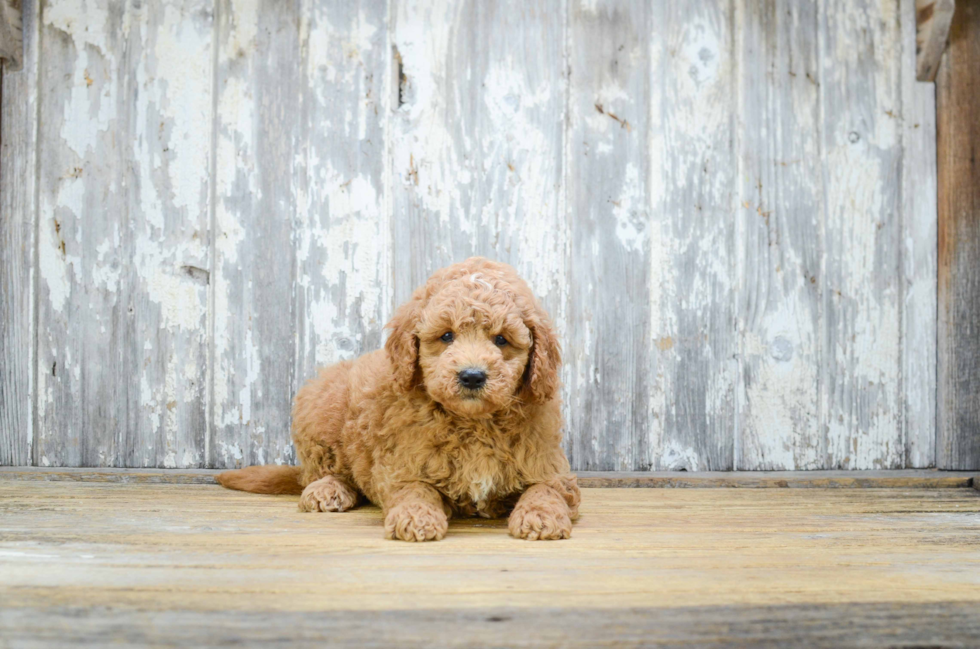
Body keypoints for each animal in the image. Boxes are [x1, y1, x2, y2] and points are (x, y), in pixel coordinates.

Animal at [218, 256, 580, 540]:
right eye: (446, 336)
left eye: (502, 340)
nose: (472, 376)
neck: (473, 422)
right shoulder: (402, 465)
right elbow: (414, 489)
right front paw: (416, 517)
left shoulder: (552, 466)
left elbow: (546, 488)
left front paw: (541, 516)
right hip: (319, 407)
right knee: (321, 471)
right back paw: (327, 489)